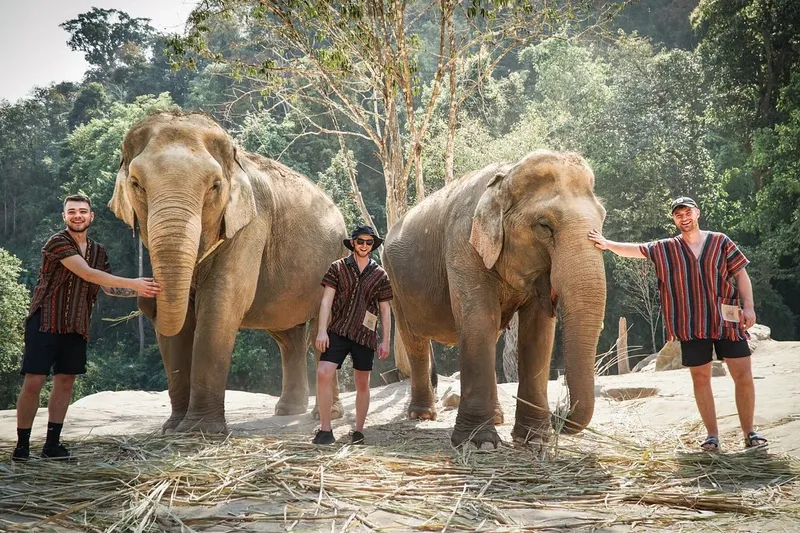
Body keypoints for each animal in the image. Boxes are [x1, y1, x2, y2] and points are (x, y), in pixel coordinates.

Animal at [108, 111, 348, 434]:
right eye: (136, 183)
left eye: (215, 186)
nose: (146, 298)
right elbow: (180, 323)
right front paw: (172, 428)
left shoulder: (251, 225)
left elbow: (220, 304)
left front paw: (200, 431)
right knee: (288, 338)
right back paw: (288, 411)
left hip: (336, 259)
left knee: (318, 333)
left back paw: (325, 415)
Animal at [381, 150, 606, 447]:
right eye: (544, 226)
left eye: (602, 219)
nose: (559, 412)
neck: (506, 175)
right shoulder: (462, 244)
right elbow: (479, 321)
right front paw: (479, 442)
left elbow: (537, 333)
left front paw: (535, 439)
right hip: (395, 283)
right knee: (414, 341)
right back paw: (422, 416)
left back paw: (498, 418)